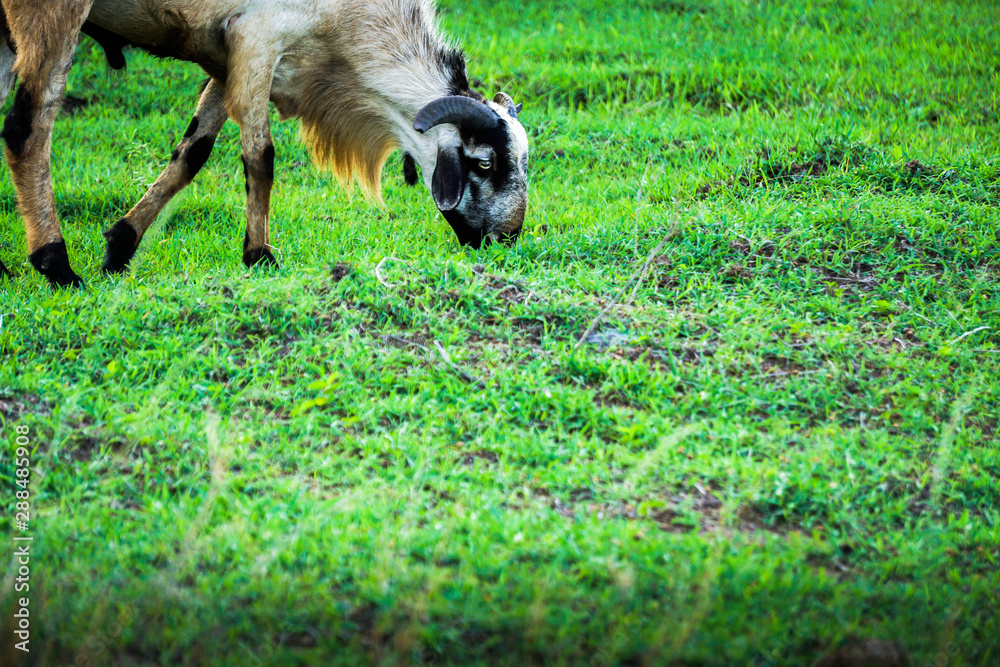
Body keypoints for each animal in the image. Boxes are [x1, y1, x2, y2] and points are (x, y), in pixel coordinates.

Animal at [0, 0, 529, 287]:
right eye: (484, 163)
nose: (505, 240)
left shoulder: (224, 56)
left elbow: (193, 152)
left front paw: (121, 246)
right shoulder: (258, 39)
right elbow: (260, 156)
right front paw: (259, 256)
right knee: (28, 127)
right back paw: (55, 264)